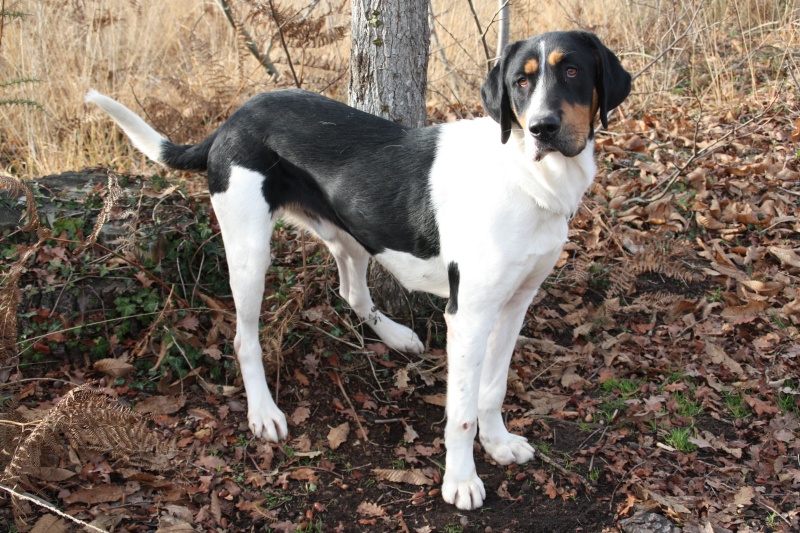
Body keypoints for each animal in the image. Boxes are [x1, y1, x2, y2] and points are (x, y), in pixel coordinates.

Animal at [86, 30, 624, 512]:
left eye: (572, 71)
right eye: (520, 82)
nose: (541, 129)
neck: (527, 177)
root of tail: (229, 122)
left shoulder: (514, 305)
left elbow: (492, 390)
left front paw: (499, 443)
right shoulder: (468, 315)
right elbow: (461, 413)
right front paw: (460, 481)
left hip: (350, 233)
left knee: (353, 294)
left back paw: (398, 337)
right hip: (250, 250)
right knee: (245, 338)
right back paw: (264, 412)